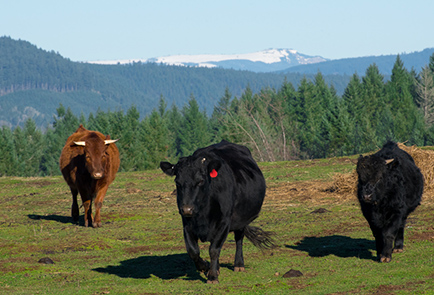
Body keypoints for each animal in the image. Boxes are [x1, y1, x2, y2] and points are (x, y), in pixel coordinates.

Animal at [159, 141, 274, 284]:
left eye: (200, 181)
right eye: (177, 182)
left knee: (239, 239)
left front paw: (212, 276)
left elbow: (214, 250)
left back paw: (238, 265)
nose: (187, 209)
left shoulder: (224, 222)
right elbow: (193, 251)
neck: (203, 214)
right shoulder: (186, 223)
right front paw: (205, 267)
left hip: (241, 220)